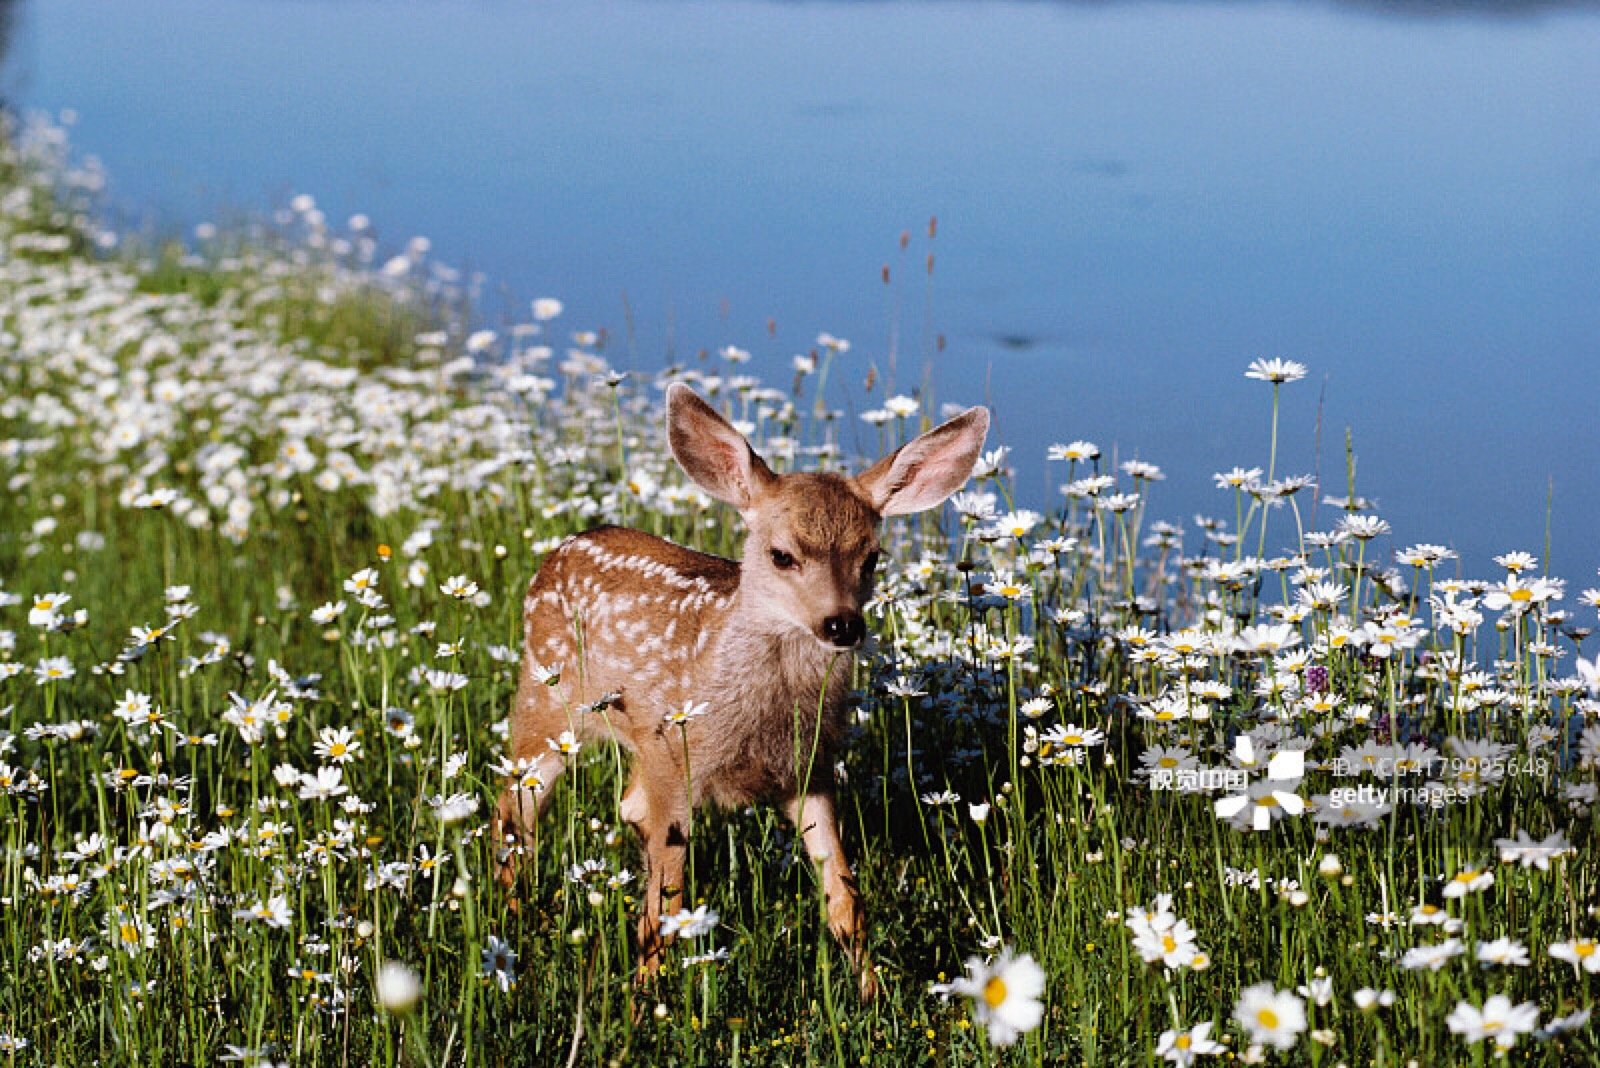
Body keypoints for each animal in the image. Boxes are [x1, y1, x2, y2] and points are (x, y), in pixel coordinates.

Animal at [492, 378, 985, 997]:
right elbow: (663, 910)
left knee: (625, 806)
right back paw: (511, 929)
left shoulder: (809, 768)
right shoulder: (674, 757)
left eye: (872, 557)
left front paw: (874, 995)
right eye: (782, 555)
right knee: (513, 811)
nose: (842, 625)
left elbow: (846, 896)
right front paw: (643, 1002)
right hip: (546, 704)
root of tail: (559, 550)